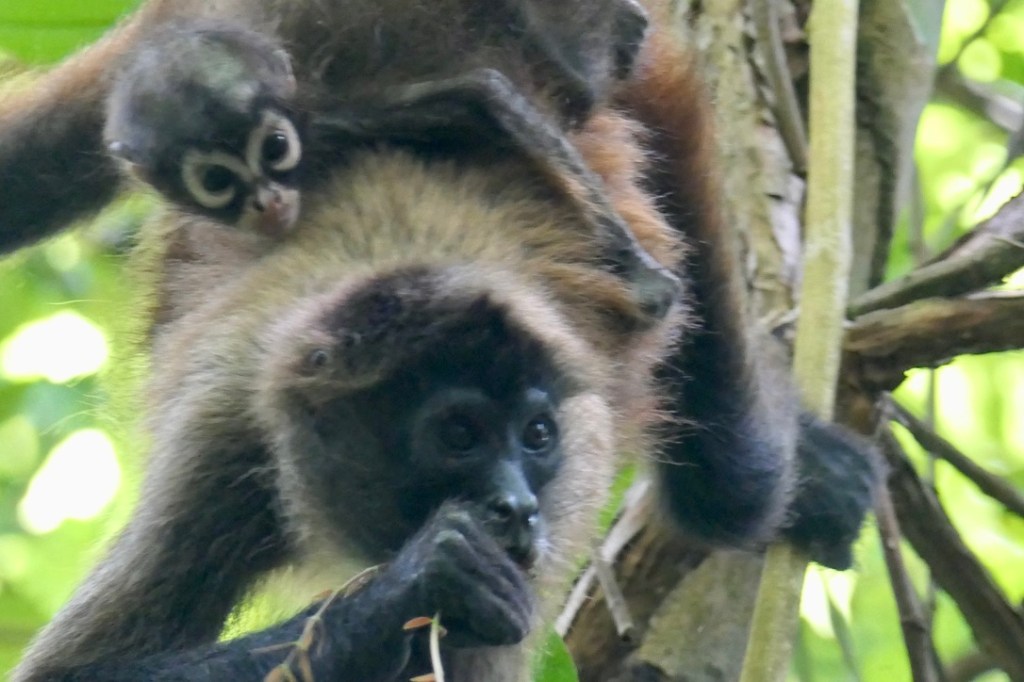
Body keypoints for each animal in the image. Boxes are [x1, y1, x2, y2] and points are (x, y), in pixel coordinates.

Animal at [6, 1, 881, 680]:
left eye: (536, 435)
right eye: (457, 437)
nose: (516, 507)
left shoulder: (574, 460)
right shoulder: (226, 434)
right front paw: (405, 590)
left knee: (734, 484)